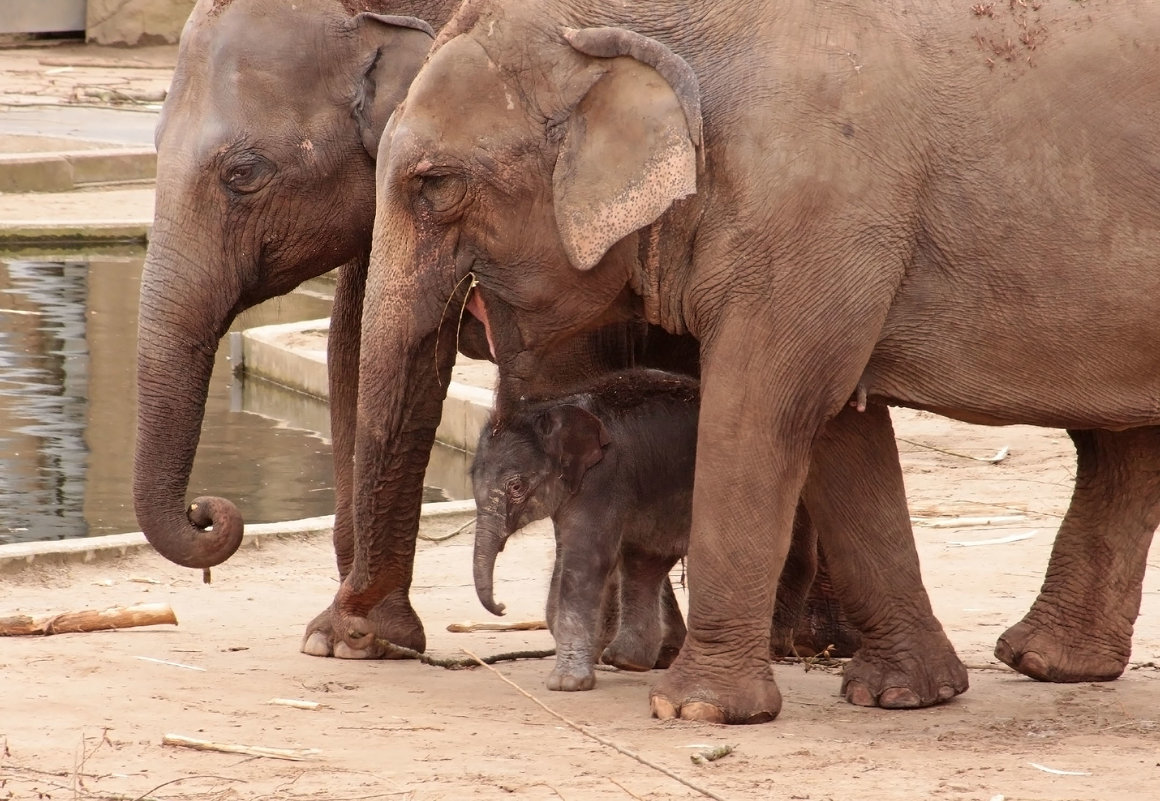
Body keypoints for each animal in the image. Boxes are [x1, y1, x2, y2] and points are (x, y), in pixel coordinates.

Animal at [470, 368, 696, 690]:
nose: (502, 607)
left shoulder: (603, 479)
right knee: (645, 560)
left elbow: (585, 561)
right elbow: (565, 556)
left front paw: (566, 684)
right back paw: (626, 661)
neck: (553, 406)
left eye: (516, 487)